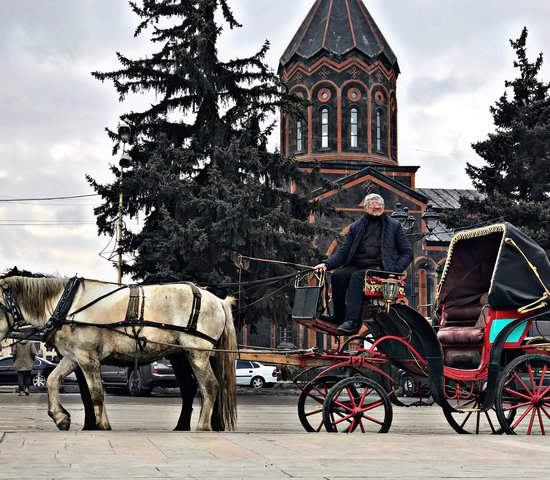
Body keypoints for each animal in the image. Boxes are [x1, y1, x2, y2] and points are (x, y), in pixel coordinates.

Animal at [0, 272, 235, 434]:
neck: (68, 305)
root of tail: (218, 300)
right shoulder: (73, 357)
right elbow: (52, 380)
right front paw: (61, 417)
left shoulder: (87, 357)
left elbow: (95, 392)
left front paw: (100, 424)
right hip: (183, 355)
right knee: (191, 388)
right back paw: (185, 425)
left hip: (197, 353)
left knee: (209, 386)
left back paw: (203, 426)